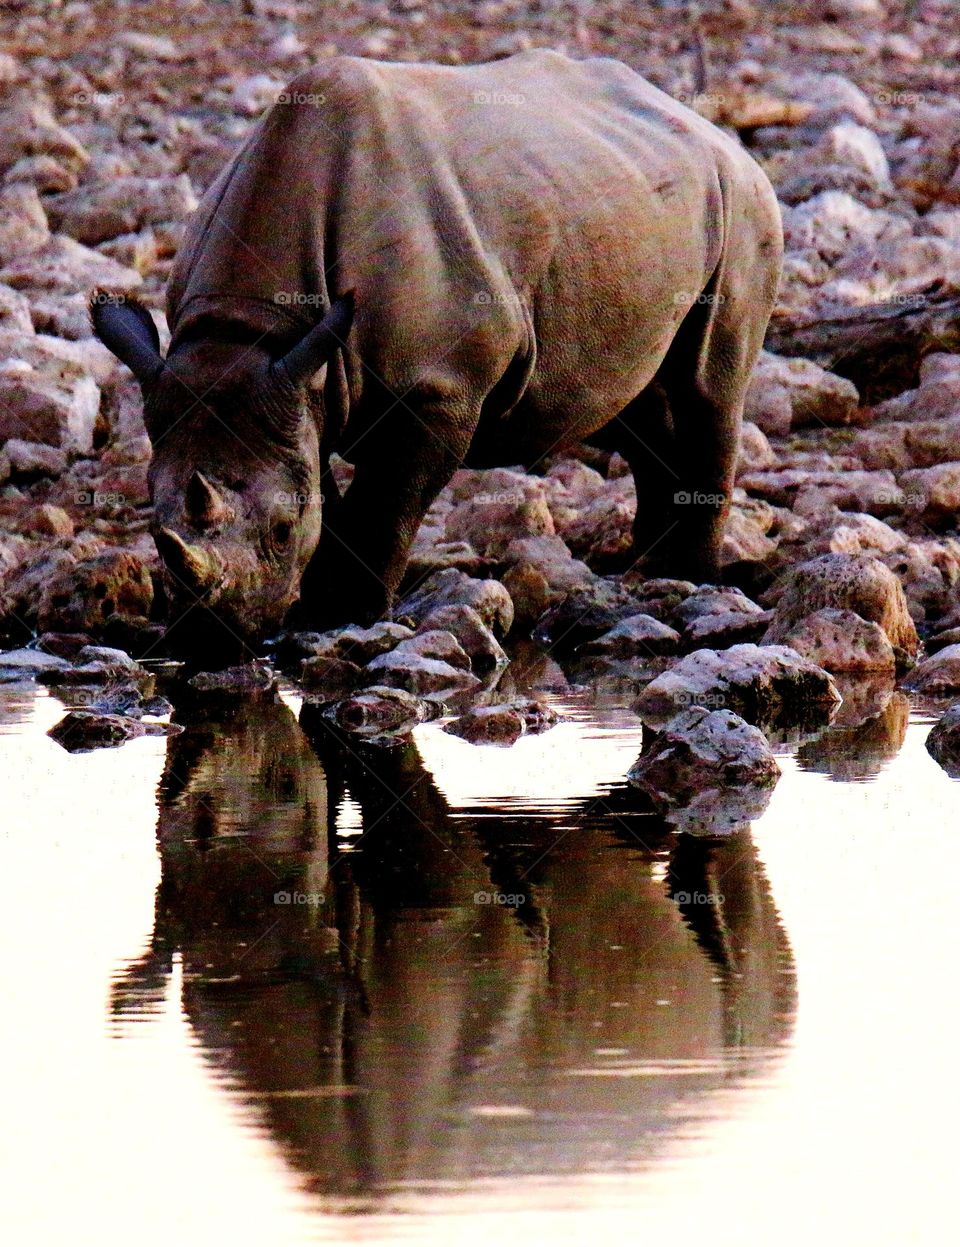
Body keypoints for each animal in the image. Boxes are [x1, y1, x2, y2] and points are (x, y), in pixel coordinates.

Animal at [92, 49, 782, 654]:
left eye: (284, 532)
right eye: (152, 525)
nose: (212, 642)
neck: (252, 330)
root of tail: (711, 130)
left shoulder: (435, 386)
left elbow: (385, 506)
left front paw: (343, 616)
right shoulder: (301, 386)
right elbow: (324, 485)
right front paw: (319, 605)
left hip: (743, 200)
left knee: (707, 391)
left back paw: (691, 580)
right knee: (636, 407)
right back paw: (649, 565)